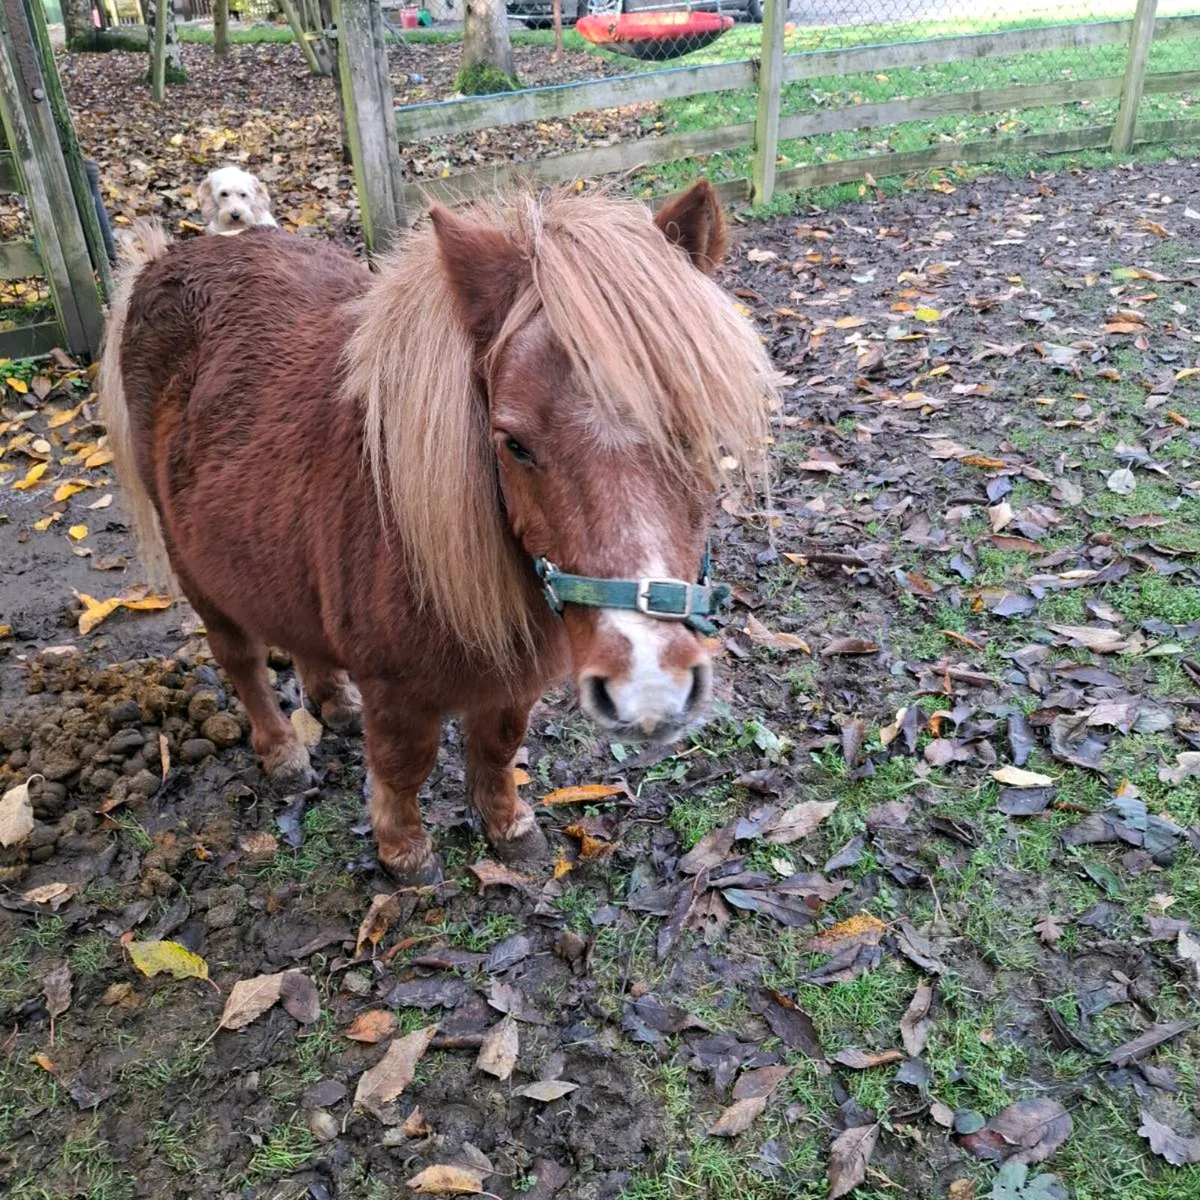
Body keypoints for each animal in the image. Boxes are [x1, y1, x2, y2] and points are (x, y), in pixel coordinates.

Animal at [98, 180, 777, 883]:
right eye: (514, 444)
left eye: (698, 431)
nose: (649, 688)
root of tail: (166, 259)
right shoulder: (397, 691)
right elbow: (404, 765)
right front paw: (403, 850)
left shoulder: (514, 679)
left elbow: (499, 747)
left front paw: (508, 827)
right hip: (196, 570)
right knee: (241, 659)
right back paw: (283, 753)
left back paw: (334, 703)